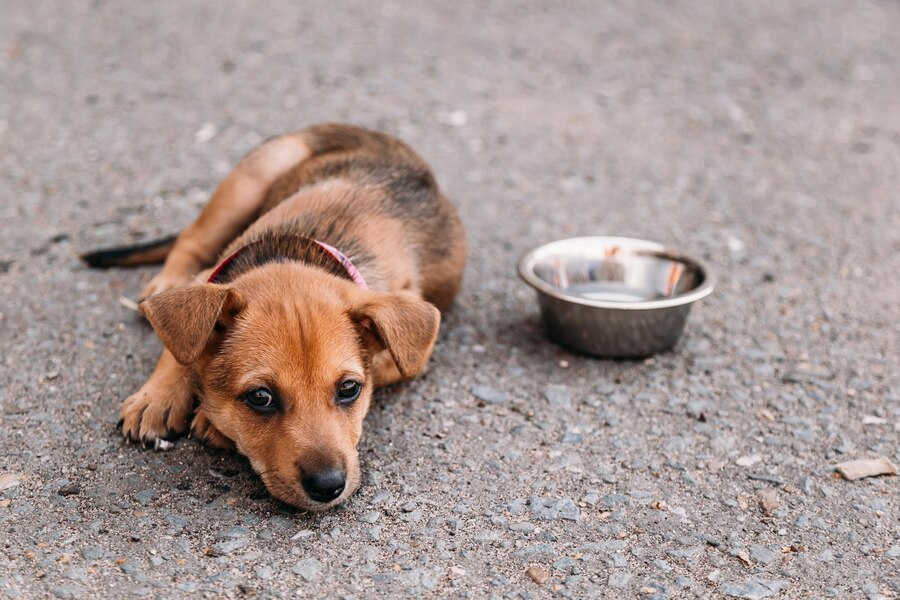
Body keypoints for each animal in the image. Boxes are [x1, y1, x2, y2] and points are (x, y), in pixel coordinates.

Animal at [81, 124, 468, 508]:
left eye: (349, 389)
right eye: (260, 397)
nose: (328, 487)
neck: (297, 251)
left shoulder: (412, 348)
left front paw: (207, 417)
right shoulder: (208, 276)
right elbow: (180, 348)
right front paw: (157, 398)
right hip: (251, 179)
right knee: (190, 240)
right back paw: (165, 281)